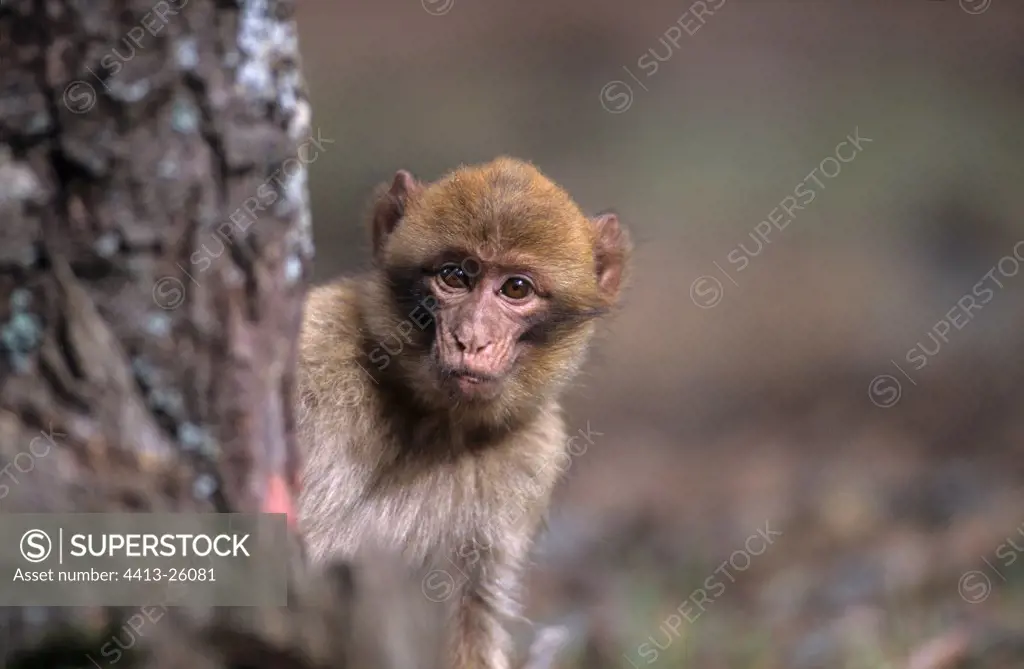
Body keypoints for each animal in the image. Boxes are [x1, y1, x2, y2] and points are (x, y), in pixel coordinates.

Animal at [294, 156, 630, 667]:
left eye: (516, 288)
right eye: (455, 277)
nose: (471, 339)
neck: (431, 420)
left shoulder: (534, 450)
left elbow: (473, 615)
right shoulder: (316, 351)